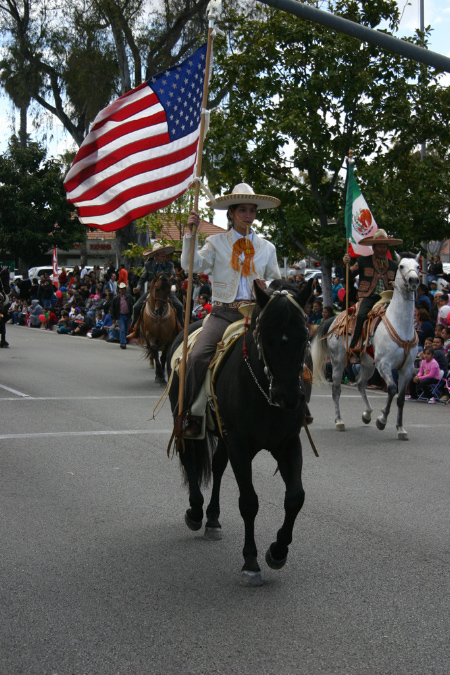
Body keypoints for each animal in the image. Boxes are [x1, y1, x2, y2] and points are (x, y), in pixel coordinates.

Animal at [312, 256, 420, 440]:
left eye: (418, 266)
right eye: (401, 266)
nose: (413, 280)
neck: (400, 325)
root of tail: (334, 319)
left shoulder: (407, 369)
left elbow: (400, 398)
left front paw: (400, 429)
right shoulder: (384, 365)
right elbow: (392, 389)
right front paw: (382, 420)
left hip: (367, 364)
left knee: (361, 383)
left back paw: (367, 414)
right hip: (338, 362)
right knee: (336, 389)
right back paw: (339, 421)